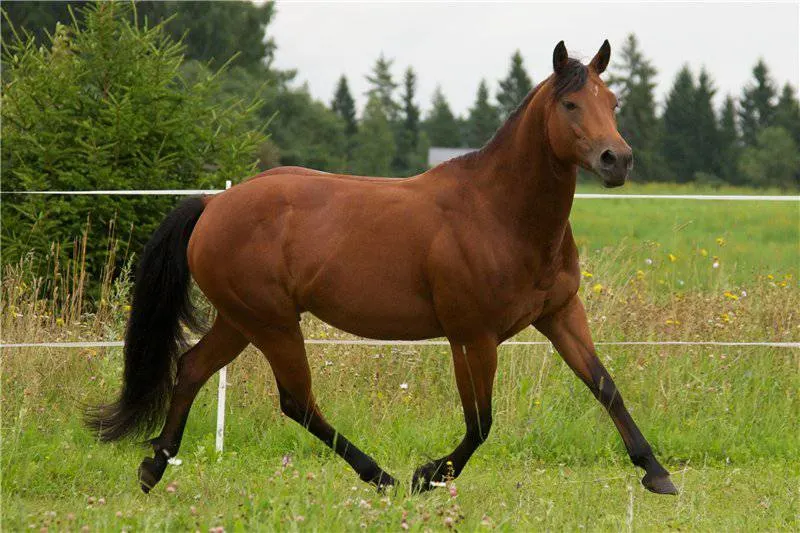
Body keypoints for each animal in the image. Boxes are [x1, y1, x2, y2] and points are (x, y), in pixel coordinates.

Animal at [87, 40, 678, 496]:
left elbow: (605, 386)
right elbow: (481, 422)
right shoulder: (471, 336)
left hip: (241, 321)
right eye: (571, 103)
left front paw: (657, 474)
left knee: (191, 370)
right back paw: (382, 477)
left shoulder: (560, 315)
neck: (499, 212)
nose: (617, 159)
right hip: (272, 324)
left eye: (613, 101)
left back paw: (153, 467)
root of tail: (213, 205)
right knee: (297, 402)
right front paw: (428, 475)